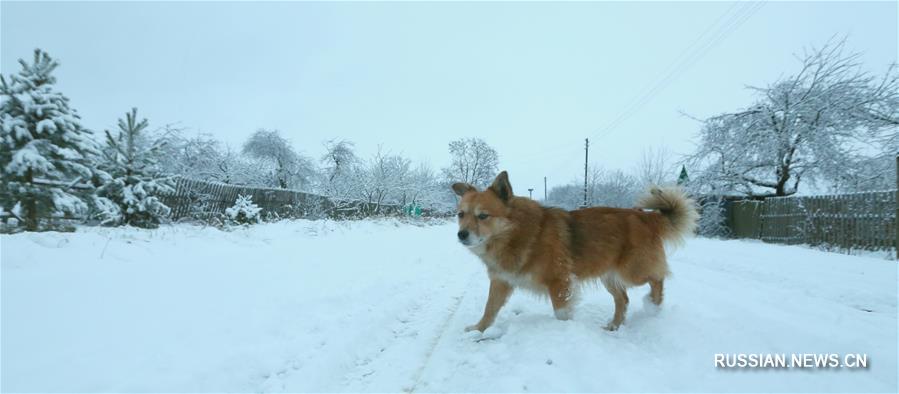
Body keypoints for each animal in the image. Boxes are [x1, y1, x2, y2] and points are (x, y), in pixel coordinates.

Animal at [454, 171, 700, 330]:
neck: (515, 234)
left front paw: (564, 329)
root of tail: (647, 216)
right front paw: (479, 329)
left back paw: (653, 306)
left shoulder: (559, 281)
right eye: (460, 214)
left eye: (483, 216)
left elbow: (561, 312)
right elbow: (490, 308)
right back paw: (614, 325)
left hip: (633, 270)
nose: (461, 235)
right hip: (609, 275)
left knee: (657, 278)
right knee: (623, 299)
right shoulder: (501, 281)